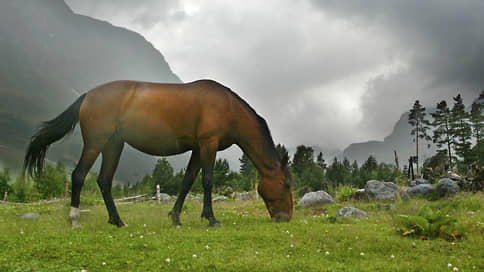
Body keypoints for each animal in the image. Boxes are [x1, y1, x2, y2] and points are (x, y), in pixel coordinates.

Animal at [24, 79, 294, 227]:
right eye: (287, 185)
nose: (286, 217)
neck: (228, 107)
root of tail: (88, 95)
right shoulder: (208, 144)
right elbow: (207, 181)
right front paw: (211, 218)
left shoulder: (198, 149)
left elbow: (187, 181)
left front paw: (175, 217)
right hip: (95, 143)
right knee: (79, 175)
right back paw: (75, 219)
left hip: (114, 146)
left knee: (104, 181)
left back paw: (118, 221)